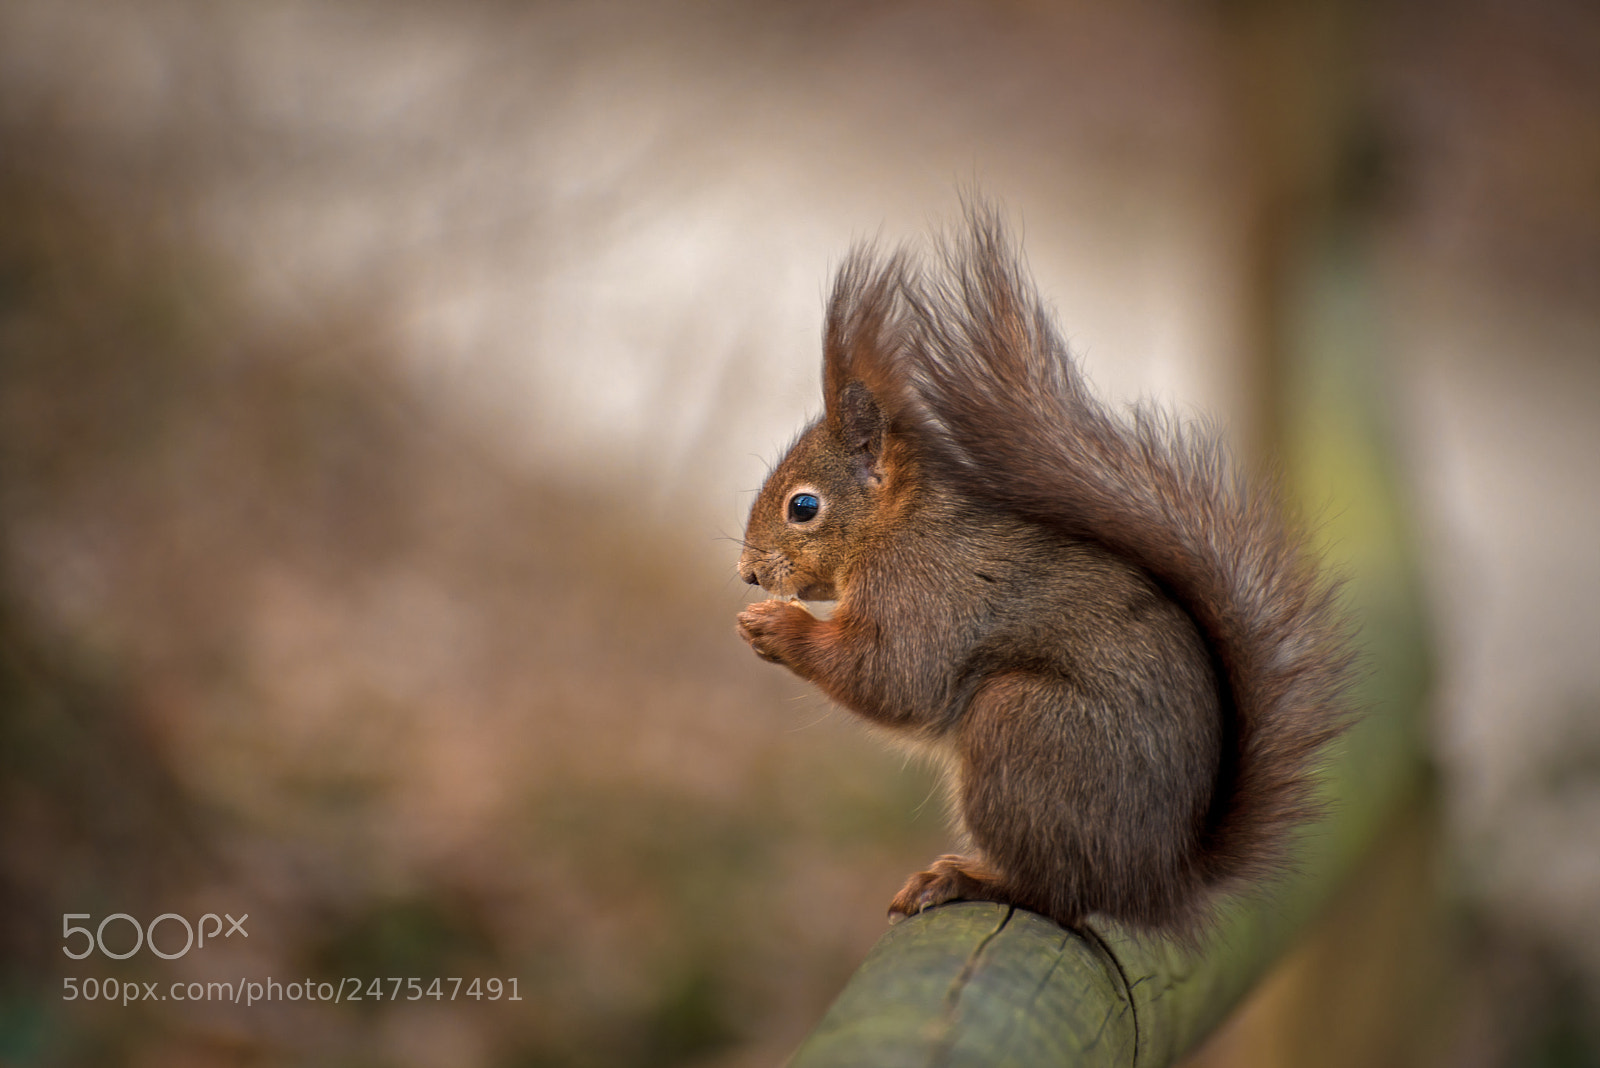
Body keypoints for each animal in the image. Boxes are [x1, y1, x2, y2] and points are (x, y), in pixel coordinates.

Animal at [735, 203, 1355, 939]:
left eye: (803, 507)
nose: (746, 573)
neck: (899, 529)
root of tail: (1154, 881)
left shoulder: (925, 593)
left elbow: (895, 678)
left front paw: (776, 628)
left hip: (1022, 727)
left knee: (1057, 897)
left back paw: (964, 878)